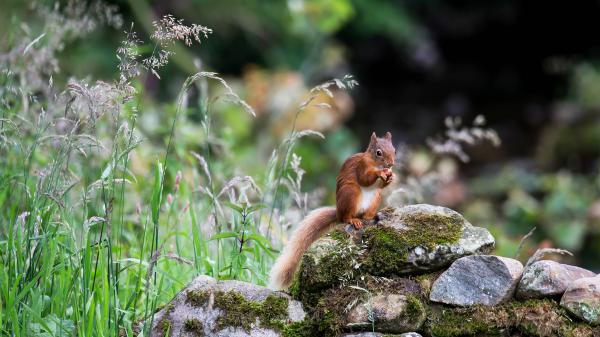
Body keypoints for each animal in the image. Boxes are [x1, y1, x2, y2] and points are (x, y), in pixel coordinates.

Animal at [270, 131, 396, 288]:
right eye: (379, 152)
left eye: (394, 150)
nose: (390, 164)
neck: (375, 164)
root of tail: (338, 212)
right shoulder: (361, 166)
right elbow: (364, 179)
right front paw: (381, 173)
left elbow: (382, 185)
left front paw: (391, 176)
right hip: (350, 192)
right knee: (346, 217)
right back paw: (353, 220)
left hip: (375, 198)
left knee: (366, 212)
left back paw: (370, 217)